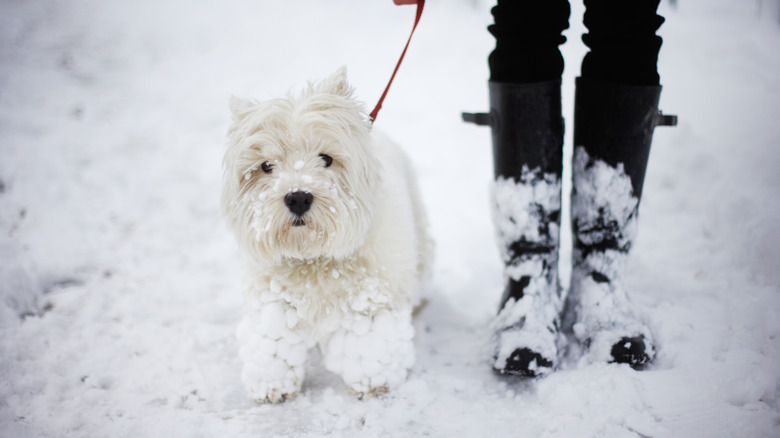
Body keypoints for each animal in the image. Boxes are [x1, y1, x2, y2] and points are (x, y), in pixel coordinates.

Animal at [222, 66, 432, 402]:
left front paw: (373, 382)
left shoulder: (369, 298)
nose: (297, 197)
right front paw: (271, 385)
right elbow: (272, 342)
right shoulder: (272, 298)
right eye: (266, 165)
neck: (313, 259)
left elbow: (369, 344)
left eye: (326, 158)